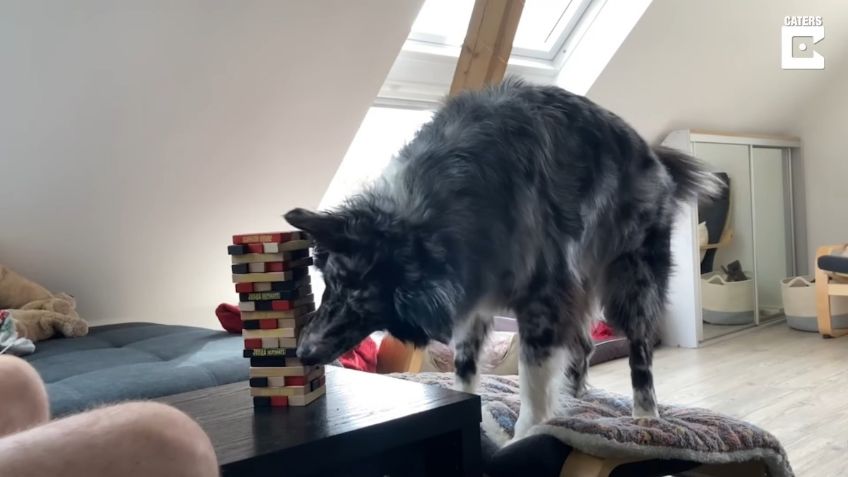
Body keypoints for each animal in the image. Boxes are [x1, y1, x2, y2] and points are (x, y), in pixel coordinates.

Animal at [286, 78, 724, 438]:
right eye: (330, 286)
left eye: (366, 304)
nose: (302, 353)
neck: (427, 212)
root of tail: (655, 158)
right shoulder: (473, 302)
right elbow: (465, 369)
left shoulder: (542, 301)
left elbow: (532, 380)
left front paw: (526, 433)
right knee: (584, 344)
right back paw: (576, 398)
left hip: (631, 285)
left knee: (639, 352)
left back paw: (646, 415)